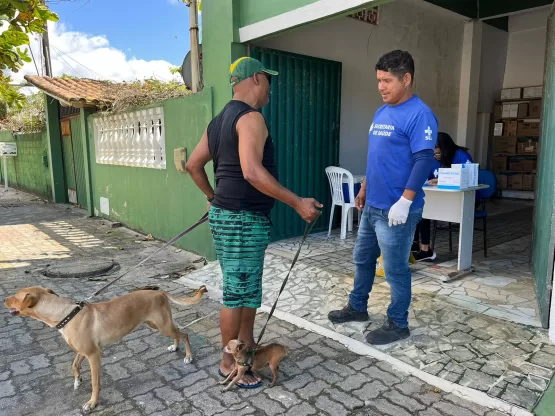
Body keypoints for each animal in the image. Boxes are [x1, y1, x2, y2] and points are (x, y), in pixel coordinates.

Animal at [3, 286, 208, 412]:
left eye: (15, 296)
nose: (4, 299)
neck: (65, 314)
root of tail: (161, 293)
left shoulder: (94, 355)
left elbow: (95, 383)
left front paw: (92, 403)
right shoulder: (83, 351)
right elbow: (74, 365)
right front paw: (77, 380)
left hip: (162, 325)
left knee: (185, 334)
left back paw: (189, 357)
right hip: (158, 325)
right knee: (178, 333)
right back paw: (175, 347)